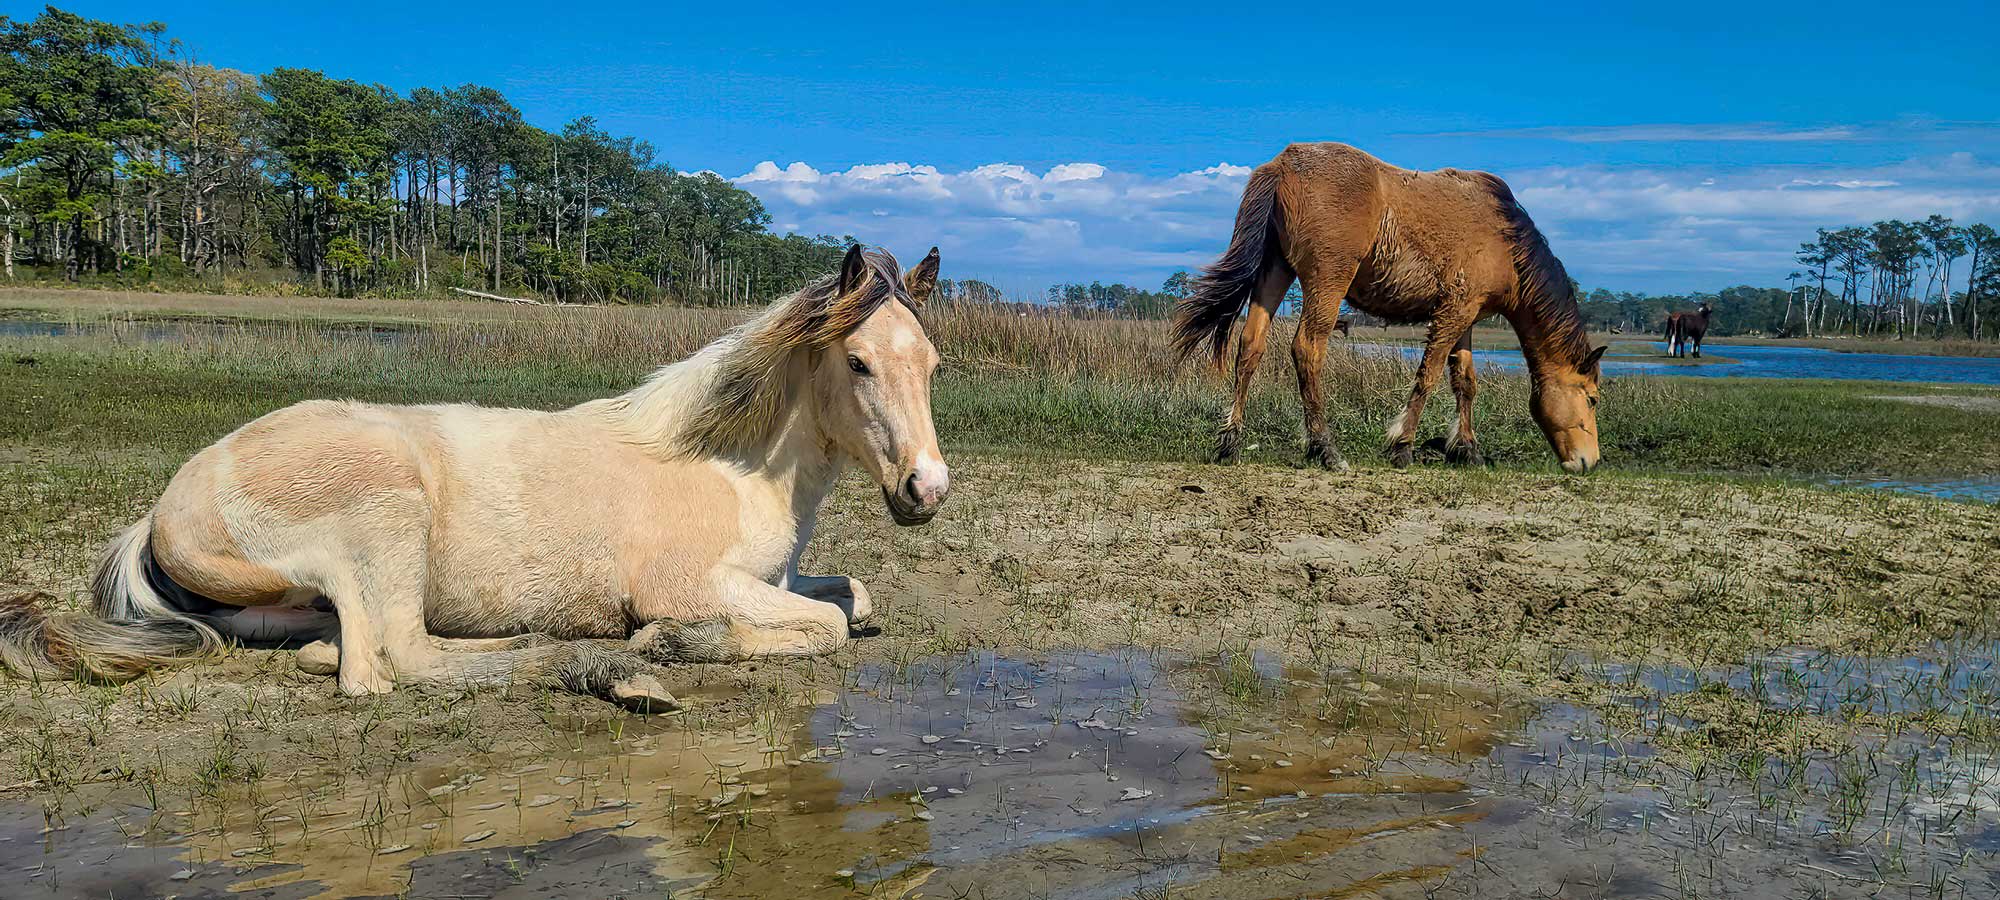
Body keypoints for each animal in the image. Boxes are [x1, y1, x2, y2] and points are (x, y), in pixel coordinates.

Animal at [0, 246, 948, 712]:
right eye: (859, 362)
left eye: (933, 362)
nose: (926, 491)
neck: (726, 466)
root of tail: (166, 508)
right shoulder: (691, 583)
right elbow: (827, 625)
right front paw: (671, 643)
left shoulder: (780, 576)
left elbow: (852, 597)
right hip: (381, 521)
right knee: (391, 662)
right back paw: (604, 667)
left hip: (291, 596)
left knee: (347, 646)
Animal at [1168, 142, 1608, 472]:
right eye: (1591, 399)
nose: (1589, 462)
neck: (1503, 236)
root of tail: (1283, 164)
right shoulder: (1451, 316)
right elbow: (1428, 376)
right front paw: (1403, 445)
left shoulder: (1466, 317)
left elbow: (1465, 382)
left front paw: (1468, 450)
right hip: (1326, 281)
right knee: (1307, 349)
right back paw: (1325, 448)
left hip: (1274, 273)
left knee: (1250, 347)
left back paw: (1230, 441)